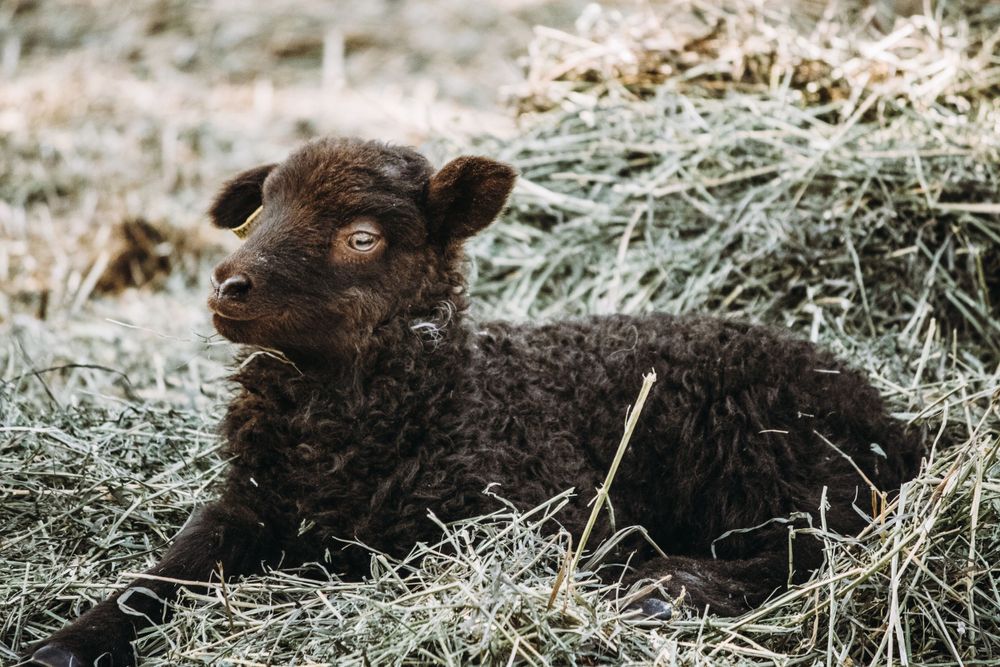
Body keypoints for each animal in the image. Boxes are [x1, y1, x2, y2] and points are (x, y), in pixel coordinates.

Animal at [28, 137, 922, 666]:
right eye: (260, 211)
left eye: (362, 235)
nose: (228, 285)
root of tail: (891, 419)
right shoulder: (244, 501)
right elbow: (160, 573)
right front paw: (66, 643)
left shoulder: (522, 519)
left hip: (766, 456)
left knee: (814, 546)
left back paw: (668, 586)